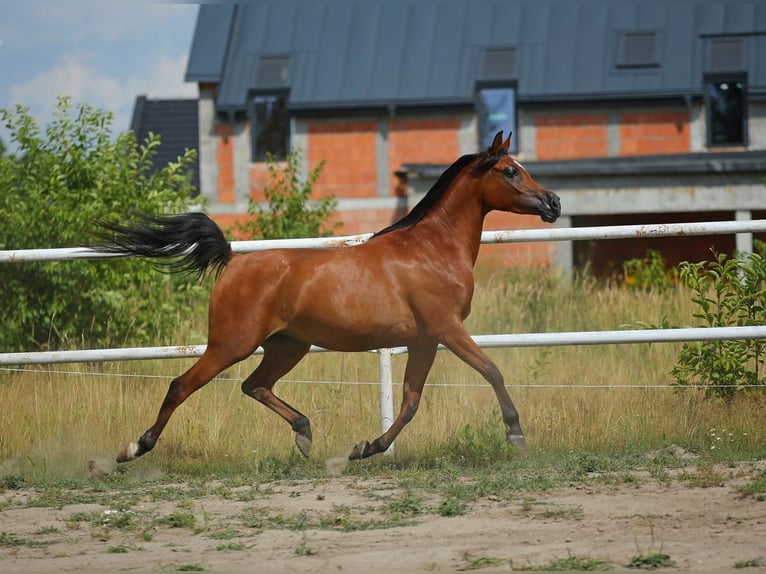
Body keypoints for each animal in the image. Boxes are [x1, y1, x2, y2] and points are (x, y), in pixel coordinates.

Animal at [99, 133, 560, 466]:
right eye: (510, 170)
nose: (553, 203)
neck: (433, 249)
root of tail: (233, 260)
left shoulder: (424, 340)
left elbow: (410, 402)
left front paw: (365, 449)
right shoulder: (448, 327)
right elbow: (492, 370)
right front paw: (516, 435)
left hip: (288, 346)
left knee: (255, 385)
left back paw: (304, 434)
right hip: (232, 344)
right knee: (182, 385)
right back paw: (133, 448)